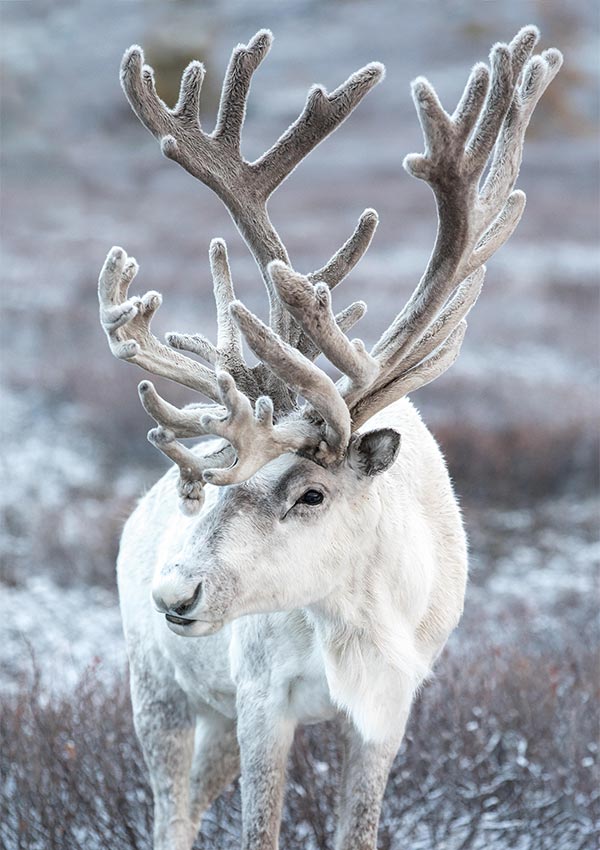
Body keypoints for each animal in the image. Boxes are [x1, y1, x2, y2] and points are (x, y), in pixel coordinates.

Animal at [98, 25, 561, 850]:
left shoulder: (389, 710)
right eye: (218, 480)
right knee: (171, 813)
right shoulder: (260, 699)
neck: (355, 620)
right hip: (159, 689)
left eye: (311, 493)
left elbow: (359, 829)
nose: (175, 592)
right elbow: (259, 830)